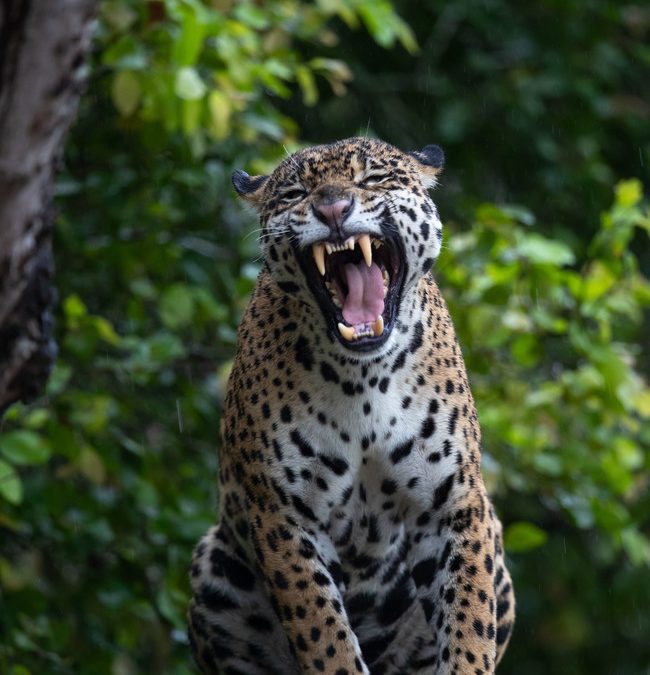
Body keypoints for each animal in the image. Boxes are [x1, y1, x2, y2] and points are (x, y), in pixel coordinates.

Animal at [188, 137, 515, 675]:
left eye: (372, 180)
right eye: (297, 193)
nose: (333, 209)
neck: (365, 377)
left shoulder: (454, 504)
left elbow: (470, 621)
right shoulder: (284, 519)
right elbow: (324, 635)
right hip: (213, 568)